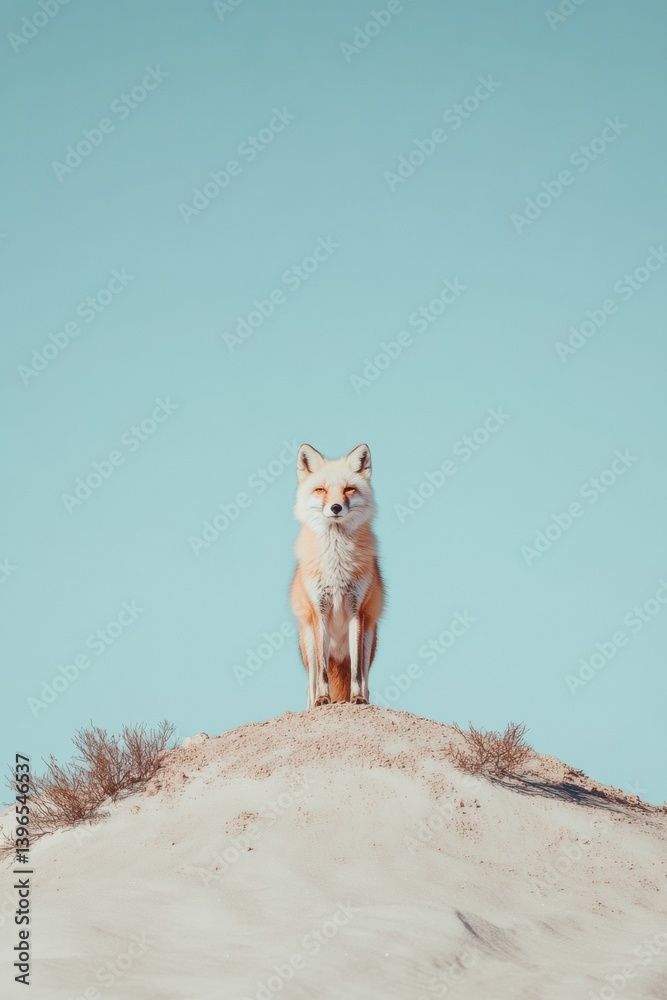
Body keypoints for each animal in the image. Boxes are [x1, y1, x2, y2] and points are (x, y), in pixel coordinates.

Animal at [290, 443, 384, 708]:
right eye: (320, 489)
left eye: (349, 489)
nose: (335, 508)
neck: (336, 562)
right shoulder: (319, 611)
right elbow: (322, 673)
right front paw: (324, 699)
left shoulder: (356, 610)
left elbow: (356, 672)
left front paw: (357, 698)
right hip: (308, 642)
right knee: (310, 684)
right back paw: (313, 704)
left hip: (369, 639)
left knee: (363, 674)